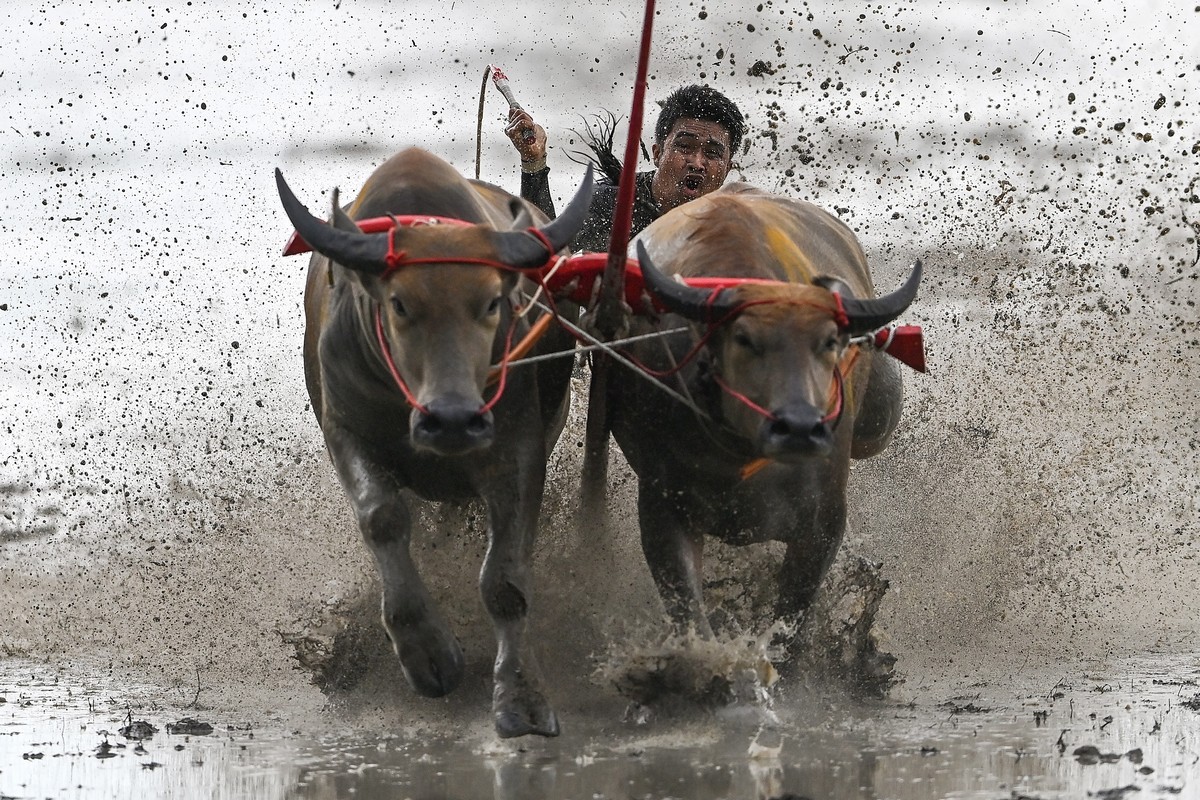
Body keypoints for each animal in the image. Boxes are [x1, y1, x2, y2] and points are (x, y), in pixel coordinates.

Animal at [272, 145, 590, 738]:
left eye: (492, 303)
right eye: (399, 304)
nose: (453, 420)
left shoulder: (517, 447)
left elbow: (505, 580)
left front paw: (521, 698)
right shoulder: (345, 430)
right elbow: (383, 519)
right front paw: (427, 655)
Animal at [604, 184, 921, 652]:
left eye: (830, 341)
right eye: (744, 338)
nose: (801, 429)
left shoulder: (823, 523)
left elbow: (787, 625)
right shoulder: (663, 507)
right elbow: (691, 619)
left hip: (876, 420)